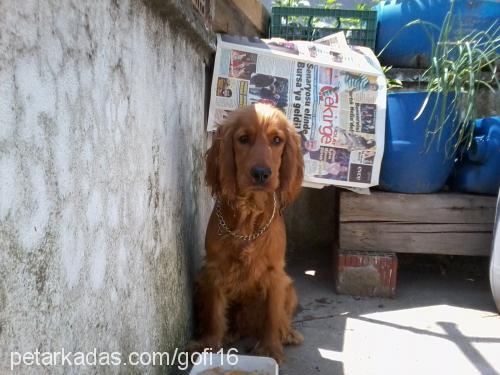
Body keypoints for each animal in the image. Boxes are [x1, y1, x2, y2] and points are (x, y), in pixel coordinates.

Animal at [188, 103, 304, 364]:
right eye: (243, 139)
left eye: (277, 140)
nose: (261, 173)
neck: (249, 212)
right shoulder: (214, 270)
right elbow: (214, 312)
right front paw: (209, 344)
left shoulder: (275, 274)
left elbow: (272, 314)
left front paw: (270, 349)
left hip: (289, 286)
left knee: (281, 317)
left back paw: (287, 333)